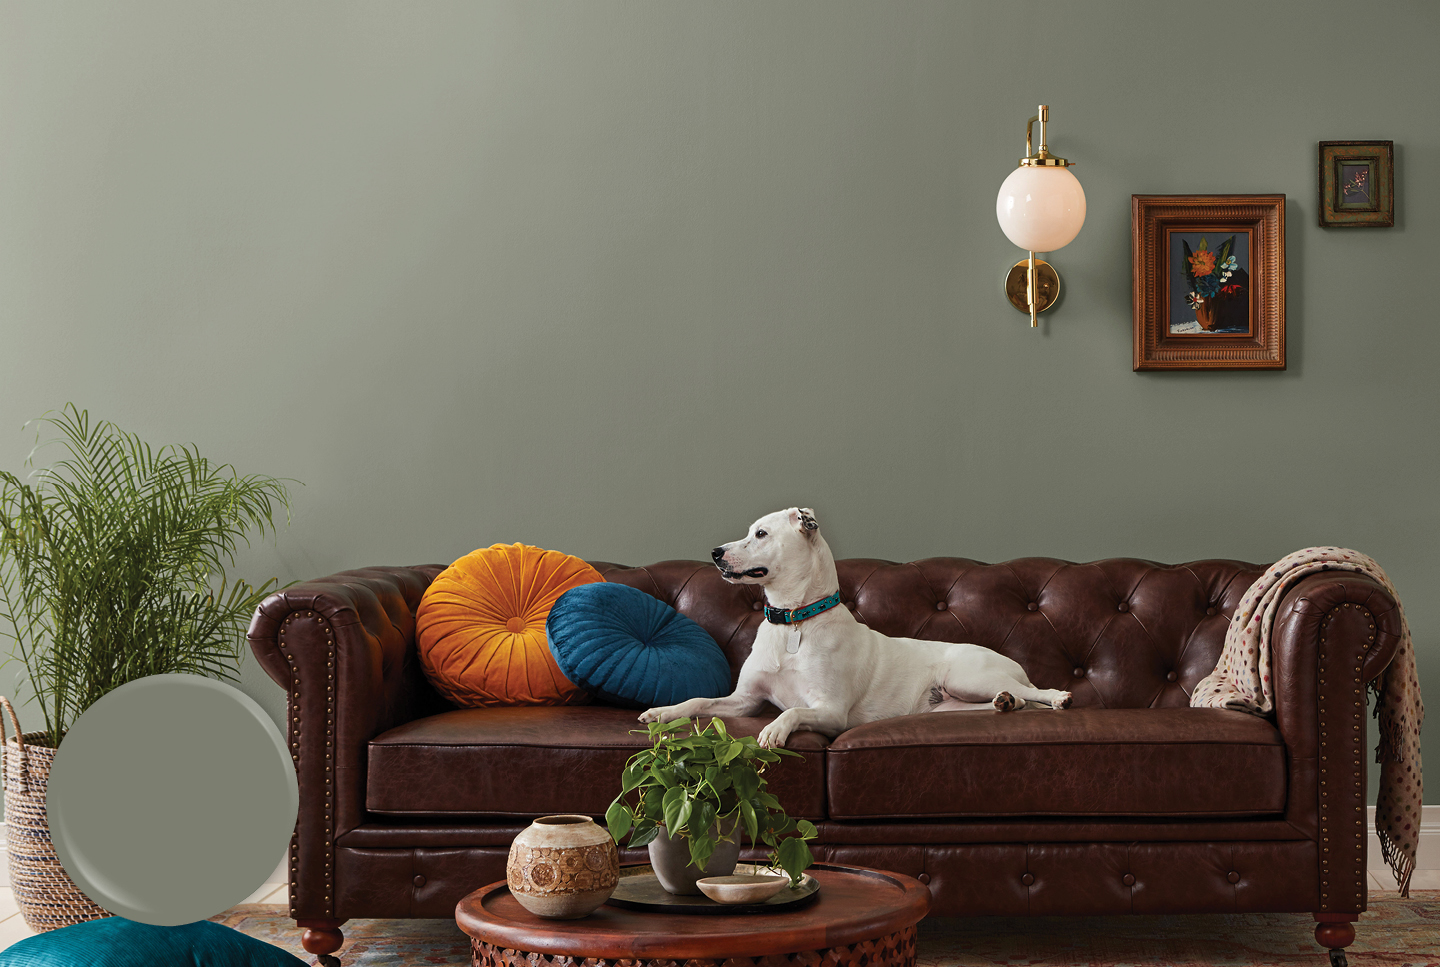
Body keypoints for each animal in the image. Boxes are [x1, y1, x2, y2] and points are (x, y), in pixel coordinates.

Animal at [642, 506, 1071, 748]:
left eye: (761, 534)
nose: (715, 553)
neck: (794, 621)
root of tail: (1012, 666)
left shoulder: (830, 711)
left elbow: (791, 712)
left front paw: (775, 731)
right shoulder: (743, 700)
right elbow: (698, 701)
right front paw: (663, 711)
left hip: (967, 676)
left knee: (1034, 692)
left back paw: (1057, 698)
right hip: (951, 704)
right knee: (1009, 701)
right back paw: (1005, 703)